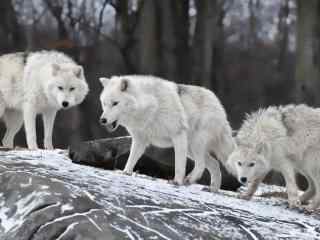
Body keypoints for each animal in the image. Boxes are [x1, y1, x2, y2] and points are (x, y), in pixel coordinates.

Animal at [99, 75, 234, 191]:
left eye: (115, 103)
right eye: (104, 103)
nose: (102, 120)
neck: (151, 106)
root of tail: (219, 105)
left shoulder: (178, 135)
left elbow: (179, 165)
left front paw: (177, 181)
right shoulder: (140, 140)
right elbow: (131, 158)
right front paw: (126, 172)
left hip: (195, 145)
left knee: (201, 164)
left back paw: (189, 180)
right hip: (191, 149)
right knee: (214, 164)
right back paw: (212, 189)